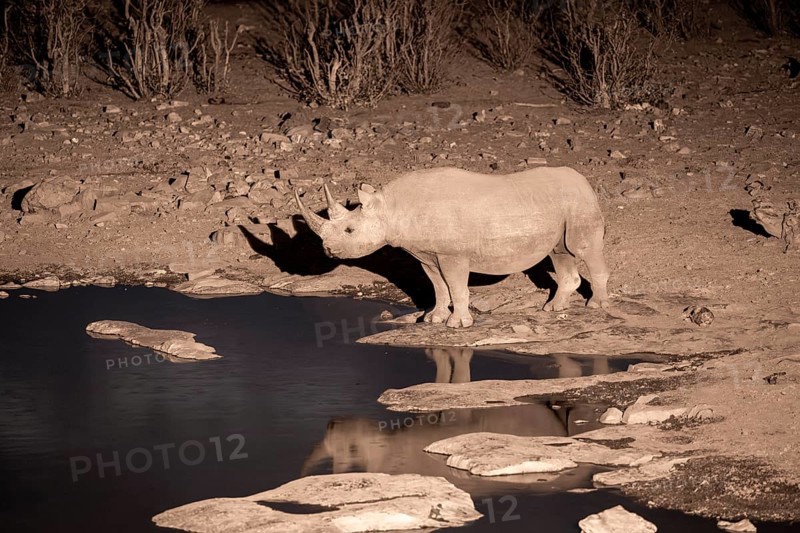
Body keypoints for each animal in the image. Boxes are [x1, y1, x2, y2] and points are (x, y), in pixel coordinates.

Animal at [294, 167, 610, 328]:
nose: (328, 250)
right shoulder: (426, 254)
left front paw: (457, 324)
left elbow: (457, 287)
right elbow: (438, 286)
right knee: (559, 251)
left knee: (581, 248)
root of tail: (584, 180)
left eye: (349, 230)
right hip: (560, 205)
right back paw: (553, 308)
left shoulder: (452, 254)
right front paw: (433, 318)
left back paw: (597, 305)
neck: (392, 208)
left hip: (579, 201)